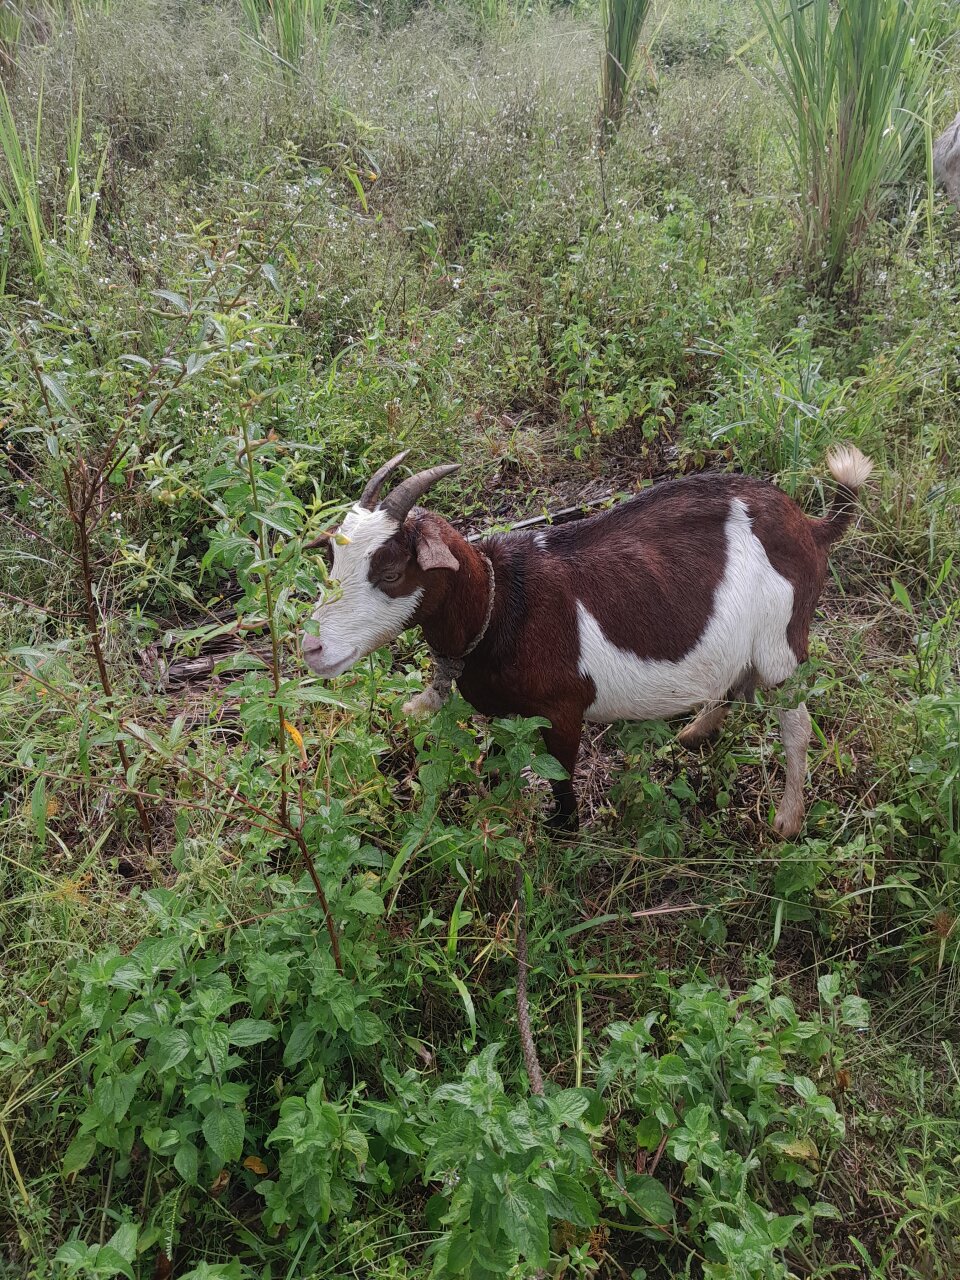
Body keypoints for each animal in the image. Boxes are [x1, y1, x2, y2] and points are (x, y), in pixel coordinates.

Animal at [301, 447, 872, 836]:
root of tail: (811, 526)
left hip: (783, 641)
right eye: (331, 556)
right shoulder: (508, 712)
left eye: (391, 572)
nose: (312, 649)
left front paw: (563, 833)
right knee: (735, 684)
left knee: (795, 724)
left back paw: (788, 820)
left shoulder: (563, 710)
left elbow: (560, 778)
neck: (501, 605)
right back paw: (694, 733)